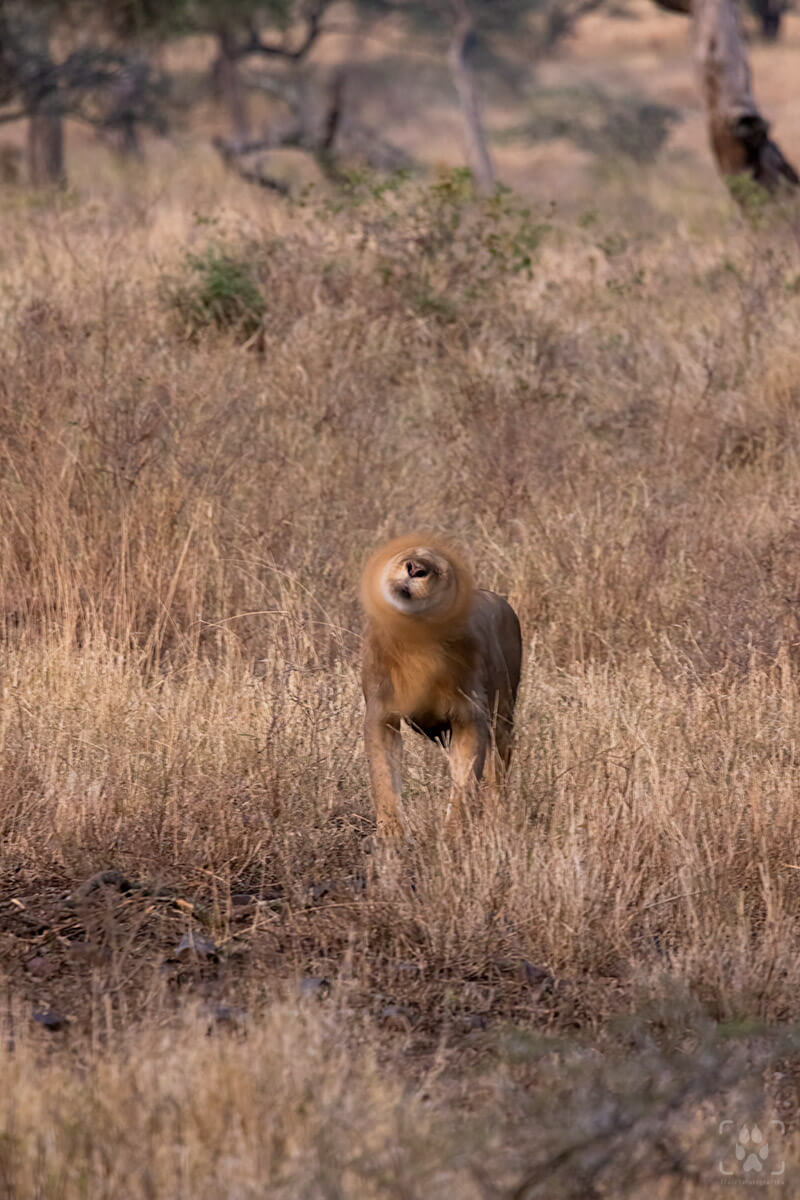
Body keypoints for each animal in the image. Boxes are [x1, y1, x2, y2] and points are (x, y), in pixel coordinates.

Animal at [360, 532, 522, 835]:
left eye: (440, 569)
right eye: (406, 555)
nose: (414, 568)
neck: (418, 645)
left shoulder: (469, 717)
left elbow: (465, 784)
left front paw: (453, 834)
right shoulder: (382, 715)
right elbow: (383, 777)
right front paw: (392, 834)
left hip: (503, 718)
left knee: (497, 775)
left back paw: (497, 821)